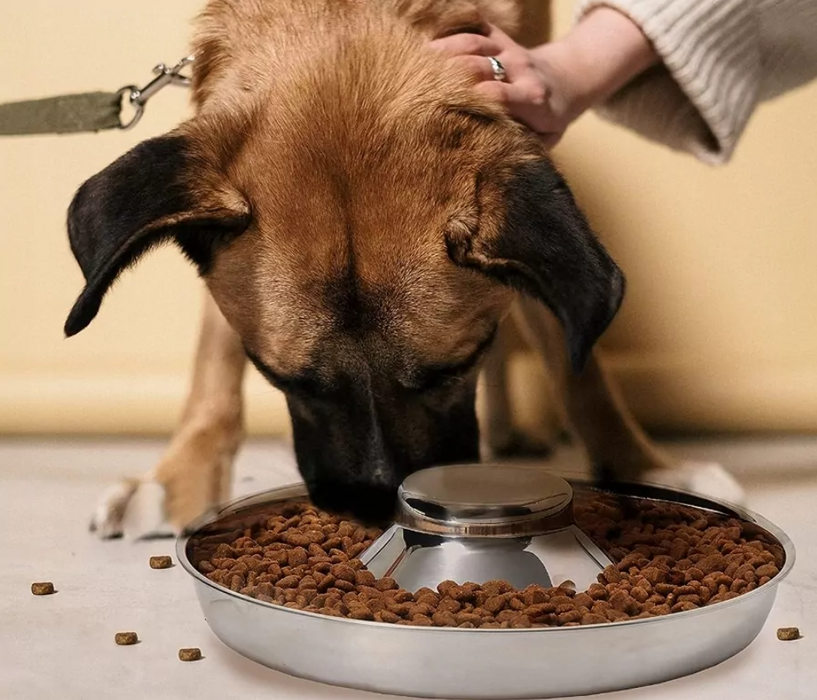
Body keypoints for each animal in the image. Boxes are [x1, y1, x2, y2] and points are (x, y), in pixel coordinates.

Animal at [62, 0, 740, 540]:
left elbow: (577, 361)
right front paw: (180, 476)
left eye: (453, 369)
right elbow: (214, 361)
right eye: (284, 379)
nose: (376, 505)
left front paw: (642, 467)